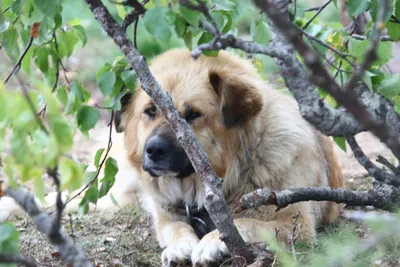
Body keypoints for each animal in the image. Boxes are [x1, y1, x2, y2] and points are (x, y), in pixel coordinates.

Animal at [113, 47, 344, 266]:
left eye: (192, 114)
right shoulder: (166, 219)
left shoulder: (295, 223)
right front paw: (180, 246)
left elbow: (244, 223)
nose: (154, 150)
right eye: (150, 111)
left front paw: (211, 242)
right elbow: (176, 227)